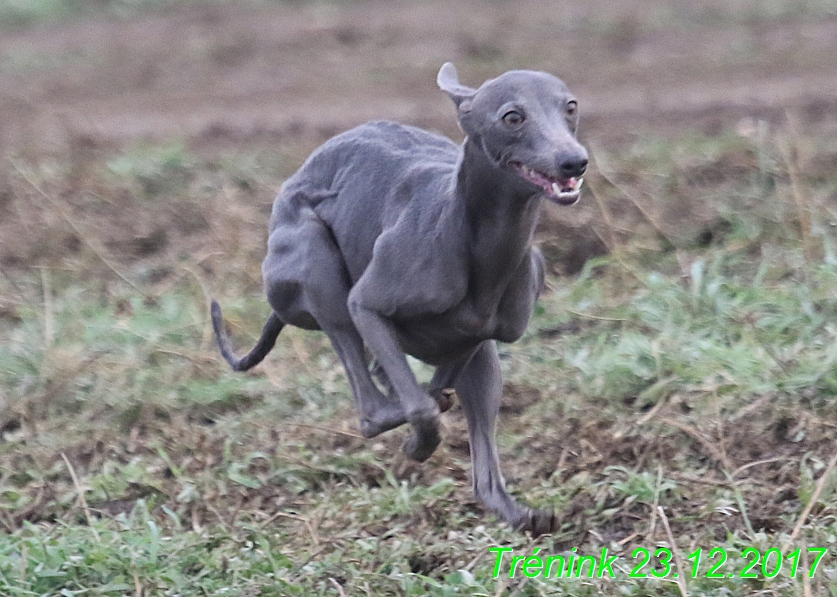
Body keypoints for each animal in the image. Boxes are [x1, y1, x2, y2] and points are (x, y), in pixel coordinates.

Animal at [209, 62, 588, 532]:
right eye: (513, 117)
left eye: (570, 107)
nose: (574, 160)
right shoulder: (368, 304)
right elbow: (419, 404)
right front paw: (417, 441)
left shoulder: (483, 331)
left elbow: (451, 365)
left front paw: (432, 402)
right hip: (312, 259)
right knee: (372, 408)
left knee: (476, 458)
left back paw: (517, 511)